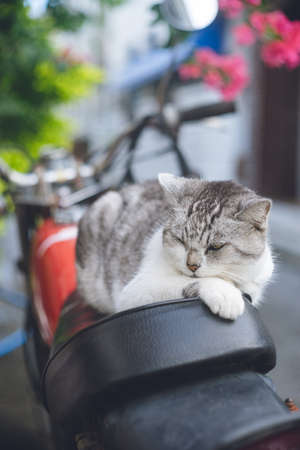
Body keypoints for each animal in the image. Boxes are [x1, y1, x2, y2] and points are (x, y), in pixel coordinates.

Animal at [76, 173, 274, 320]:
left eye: (215, 247)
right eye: (180, 240)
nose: (192, 265)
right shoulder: (133, 291)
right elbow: (188, 281)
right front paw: (226, 293)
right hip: (106, 206)